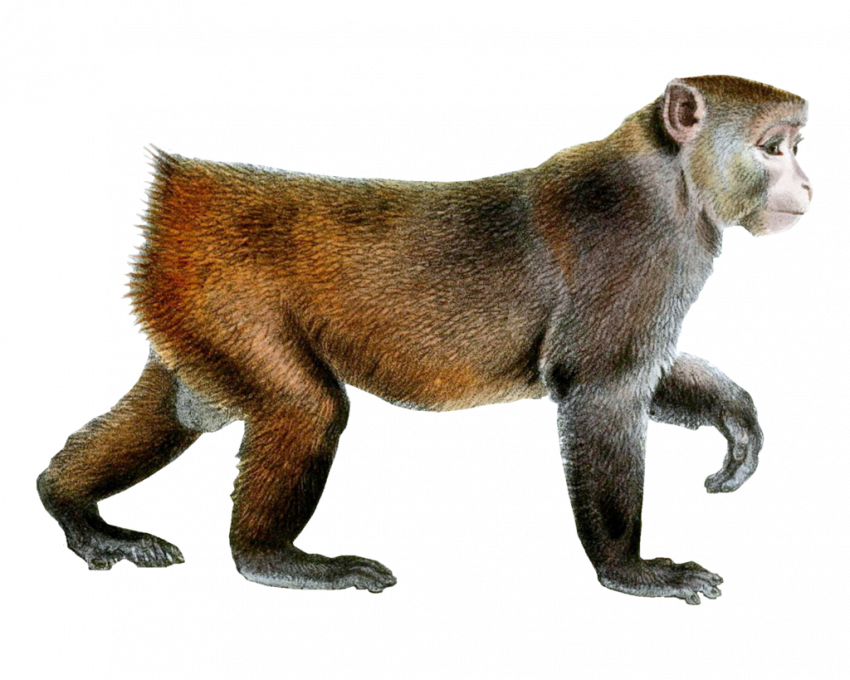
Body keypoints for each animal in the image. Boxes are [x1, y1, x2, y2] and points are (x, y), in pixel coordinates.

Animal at [37, 75, 813, 605]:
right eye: (773, 147)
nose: (806, 182)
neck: (673, 179)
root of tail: (189, 187)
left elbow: (638, 374)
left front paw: (733, 412)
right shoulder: (639, 245)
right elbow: (598, 387)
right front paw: (627, 568)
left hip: (188, 302)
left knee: (184, 404)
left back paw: (69, 504)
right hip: (221, 290)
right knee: (304, 406)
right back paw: (267, 556)